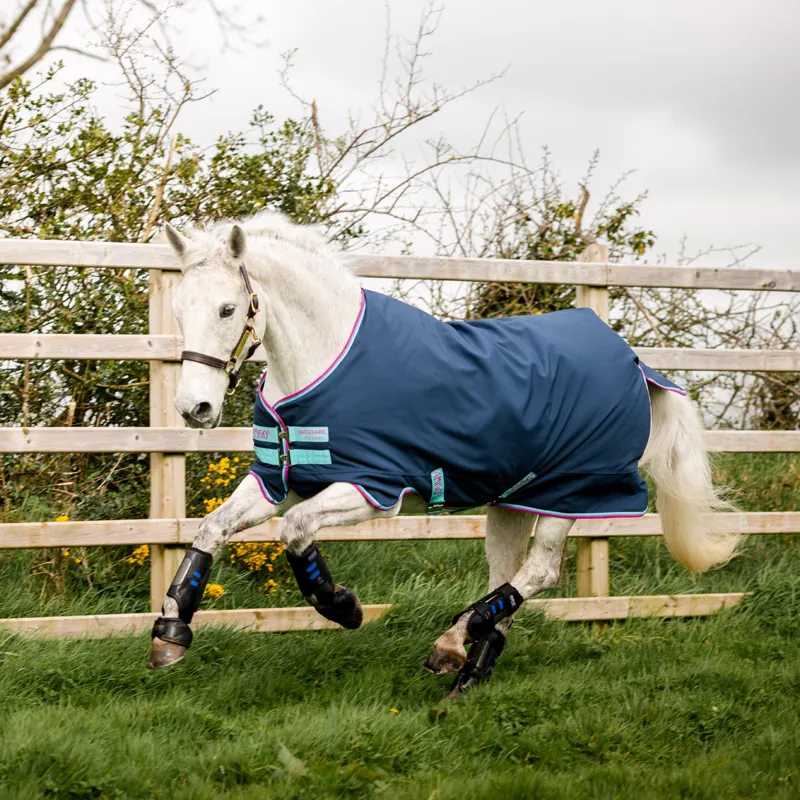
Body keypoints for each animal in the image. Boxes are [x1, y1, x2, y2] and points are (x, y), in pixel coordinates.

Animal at [147, 211, 739, 696]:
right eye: (179, 309)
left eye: (228, 308)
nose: (194, 408)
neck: (324, 363)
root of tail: (636, 363)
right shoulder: (277, 480)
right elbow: (210, 529)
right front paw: (170, 634)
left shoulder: (372, 489)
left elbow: (295, 532)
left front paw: (343, 607)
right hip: (512, 502)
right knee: (509, 575)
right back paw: (468, 669)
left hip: (573, 494)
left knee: (540, 572)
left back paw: (452, 642)